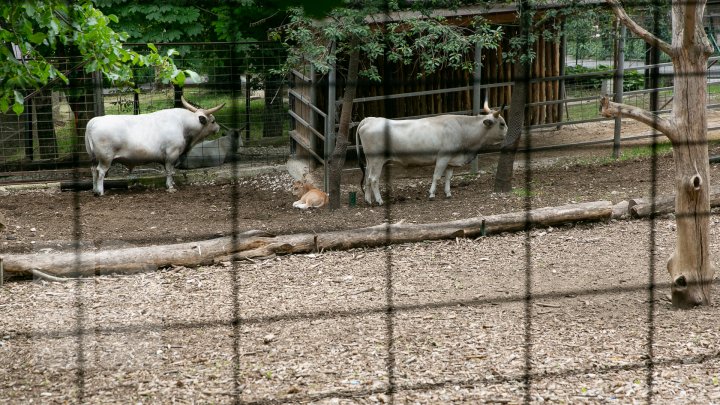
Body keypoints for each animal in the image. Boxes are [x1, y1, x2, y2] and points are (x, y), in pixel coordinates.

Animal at [85, 96, 225, 194]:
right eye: (213, 121)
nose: (218, 128)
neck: (183, 125)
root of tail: (94, 121)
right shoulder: (172, 154)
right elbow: (169, 171)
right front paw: (170, 186)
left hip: (93, 157)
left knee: (93, 170)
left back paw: (94, 190)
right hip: (106, 157)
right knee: (100, 171)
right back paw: (100, 192)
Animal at [354, 101, 506, 205]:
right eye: (502, 124)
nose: (508, 134)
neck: (461, 128)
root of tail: (369, 119)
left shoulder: (451, 159)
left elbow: (448, 177)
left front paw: (448, 193)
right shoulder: (443, 157)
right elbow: (436, 176)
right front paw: (432, 194)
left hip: (370, 161)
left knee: (367, 178)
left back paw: (368, 200)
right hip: (377, 160)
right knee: (373, 179)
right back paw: (379, 201)